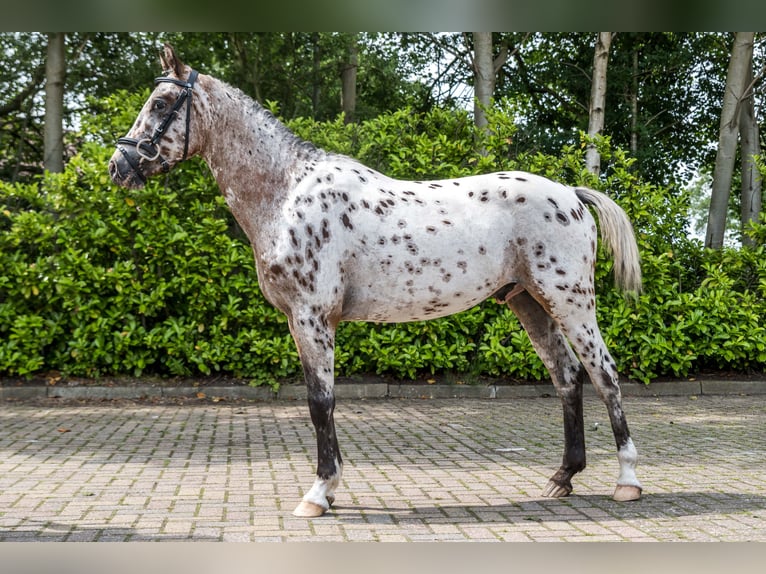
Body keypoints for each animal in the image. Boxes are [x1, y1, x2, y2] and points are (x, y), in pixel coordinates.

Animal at [109, 46, 648, 520]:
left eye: (161, 103)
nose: (119, 167)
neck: (286, 191)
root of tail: (571, 194)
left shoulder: (312, 318)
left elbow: (320, 402)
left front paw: (319, 493)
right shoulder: (302, 322)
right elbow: (321, 402)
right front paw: (330, 489)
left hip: (570, 301)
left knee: (604, 374)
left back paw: (627, 481)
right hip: (528, 303)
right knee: (567, 376)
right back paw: (563, 477)